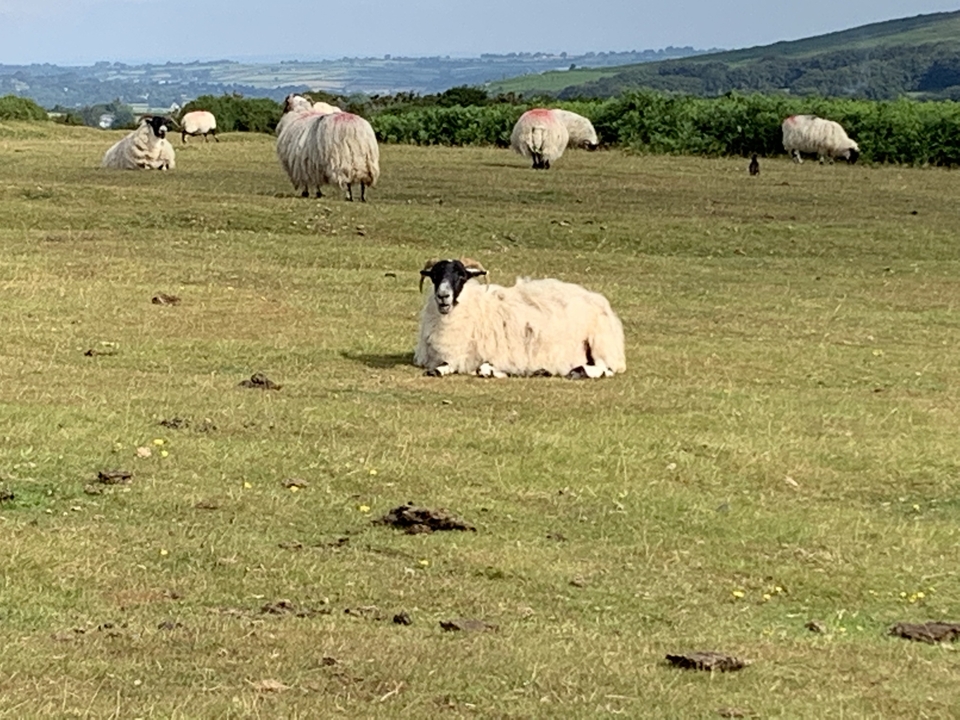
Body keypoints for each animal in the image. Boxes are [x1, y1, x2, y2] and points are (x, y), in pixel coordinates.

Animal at [415, 258, 626, 379]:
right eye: (435, 275)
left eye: (461, 275)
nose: (443, 296)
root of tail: (595, 297)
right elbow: (438, 370)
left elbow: (484, 368)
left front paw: (500, 372)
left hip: (599, 343)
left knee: (605, 368)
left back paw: (575, 372)